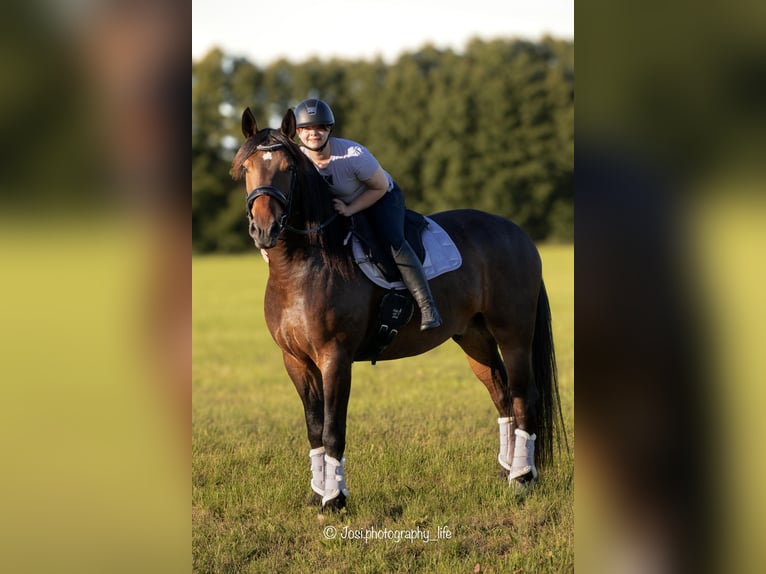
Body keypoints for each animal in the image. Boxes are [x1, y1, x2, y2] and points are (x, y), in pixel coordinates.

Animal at [232, 107, 564, 510]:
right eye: (247, 167)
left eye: (288, 168)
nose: (264, 229)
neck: (304, 266)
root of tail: (518, 234)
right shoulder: (295, 361)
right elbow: (314, 430)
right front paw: (318, 494)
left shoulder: (335, 358)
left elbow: (332, 430)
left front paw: (335, 499)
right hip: (474, 336)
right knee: (502, 396)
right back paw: (507, 471)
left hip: (513, 331)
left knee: (523, 396)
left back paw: (522, 477)